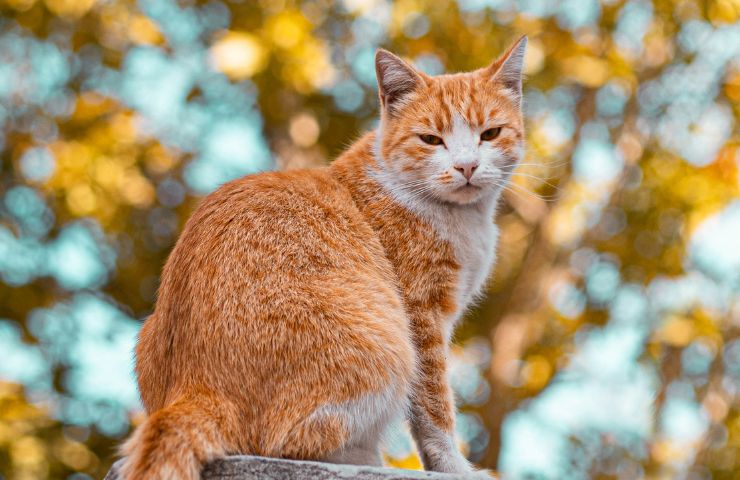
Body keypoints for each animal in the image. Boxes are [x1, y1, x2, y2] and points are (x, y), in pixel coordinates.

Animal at [120, 35, 528, 478]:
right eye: (431, 140)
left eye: (490, 134)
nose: (467, 166)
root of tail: (194, 386)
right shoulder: (422, 317)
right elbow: (434, 408)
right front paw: (454, 465)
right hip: (388, 342)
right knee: (282, 442)